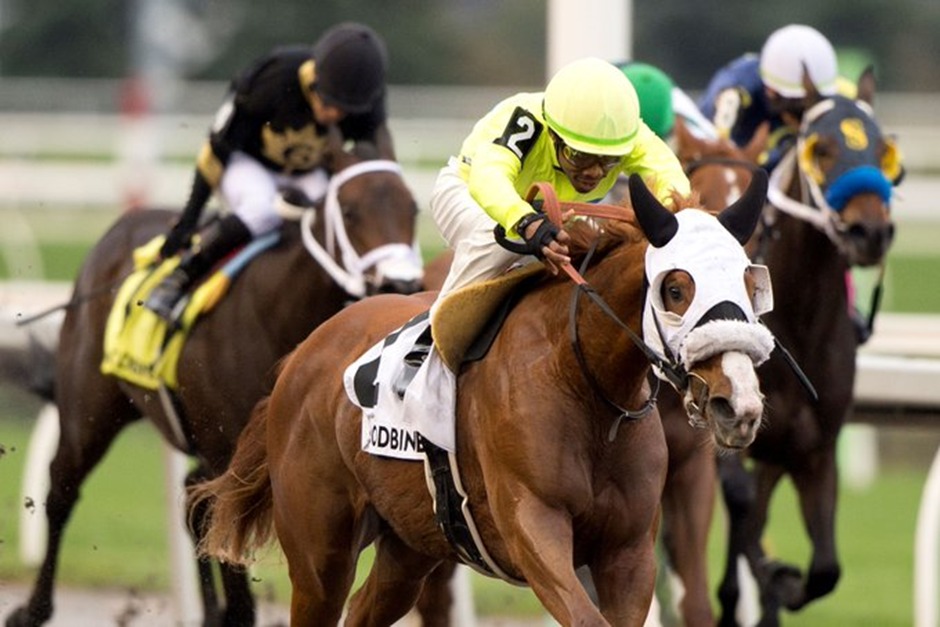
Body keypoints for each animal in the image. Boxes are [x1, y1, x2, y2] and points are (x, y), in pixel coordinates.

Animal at [5, 139, 425, 627]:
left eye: (412, 208)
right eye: (352, 211)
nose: (401, 283)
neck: (275, 310)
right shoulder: (229, 447)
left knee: (193, 502)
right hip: (89, 408)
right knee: (62, 489)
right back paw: (33, 608)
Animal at [191, 172, 775, 626]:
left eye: (752, 286)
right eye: (676, 290)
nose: (738, 404)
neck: (583, 385)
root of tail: (300, 356)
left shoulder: (627, 552)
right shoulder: (533, 526)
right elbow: (583, 614)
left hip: (409, 547)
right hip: (320, 553)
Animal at [713, 68, 898, 626]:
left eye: (881, 148)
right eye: (823, 149)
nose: (869, 231)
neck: (800, 320)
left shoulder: (815, 450)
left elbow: (826, 569)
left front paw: (783, 583)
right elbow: (739, 503)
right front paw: (766, 580)